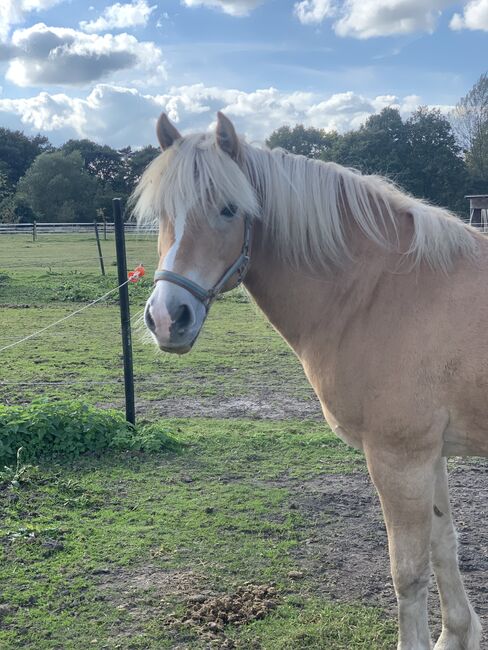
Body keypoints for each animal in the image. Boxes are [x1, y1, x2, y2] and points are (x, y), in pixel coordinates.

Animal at [132, 111, 486, 648]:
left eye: (229, 209)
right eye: (163, 212)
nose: (168, 318)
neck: (379, 292)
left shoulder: (400, 459)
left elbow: (408, 572)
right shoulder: (432, 454)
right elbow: (444, 545)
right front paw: (457, 634)